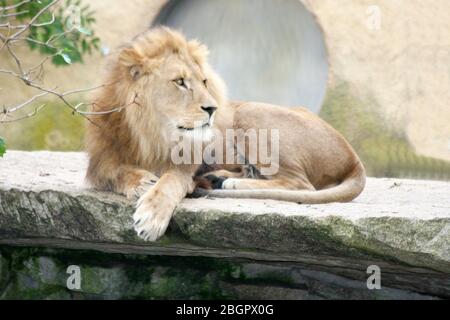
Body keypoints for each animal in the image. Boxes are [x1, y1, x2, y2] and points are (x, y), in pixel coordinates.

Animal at [85, 28, 366, 242]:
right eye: (180, 82)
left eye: (204, 82)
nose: (212, 109)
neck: (149, 131)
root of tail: (354, 159)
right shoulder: (100, 161)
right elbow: (115, 172)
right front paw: (142, 182)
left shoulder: (185, 164)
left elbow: (169, 183)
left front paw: (151, 216)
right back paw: (219, 178)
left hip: (251, 112)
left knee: (300, 184)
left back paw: (228, 183)